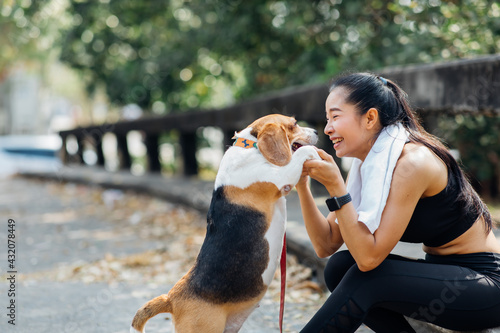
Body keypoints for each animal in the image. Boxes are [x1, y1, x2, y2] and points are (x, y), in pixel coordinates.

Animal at [131, 114, 318, 332]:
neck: (251, 147)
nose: (316, 131)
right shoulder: (281, 178)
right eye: (294, 124)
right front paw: (313, 152)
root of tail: (171, 298)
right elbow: (300, 155)